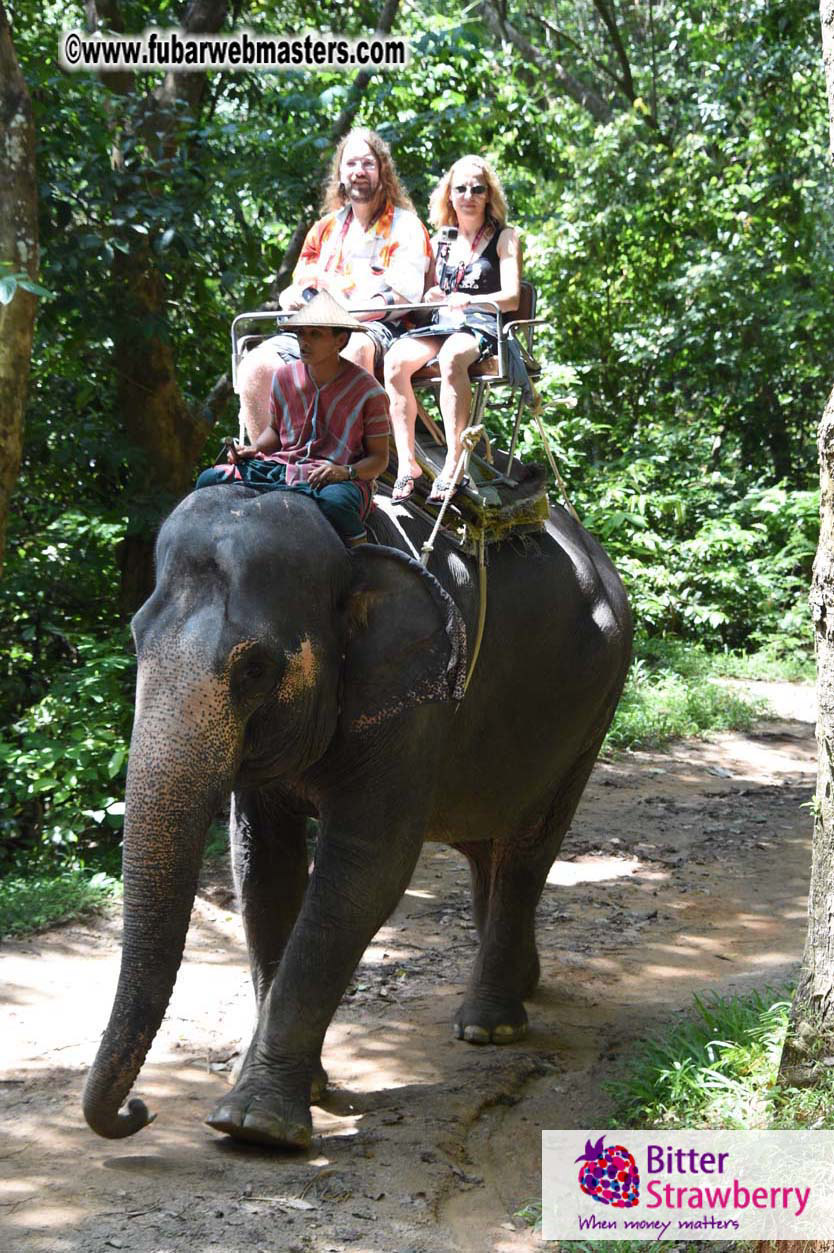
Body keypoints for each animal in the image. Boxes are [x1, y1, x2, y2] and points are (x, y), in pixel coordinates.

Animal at [82, 483, 631, 1150]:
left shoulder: (415, 701)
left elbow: (364, 870)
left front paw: (256, 1124)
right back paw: (521, 984)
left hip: (596, 704)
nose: (139, 1111)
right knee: (489, 848)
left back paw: (488, 1027)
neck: (349, 549)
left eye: (254, 668)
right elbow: (262, 869)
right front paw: (301, 1092)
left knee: (530, 847)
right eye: (136, 639)